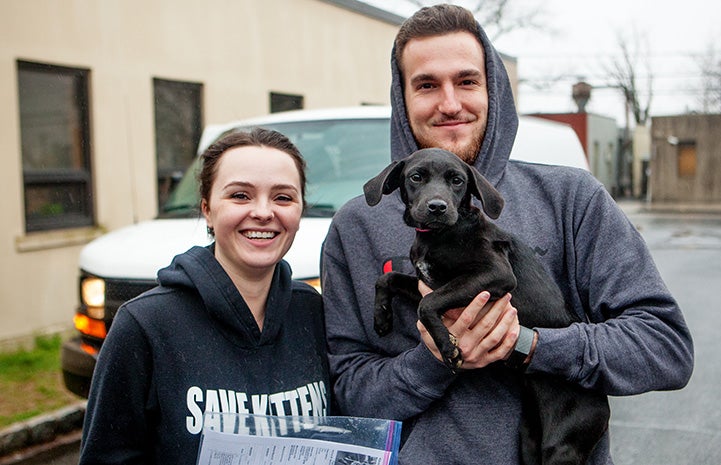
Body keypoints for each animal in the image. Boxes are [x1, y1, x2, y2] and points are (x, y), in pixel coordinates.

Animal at [366, 149, 608, 464]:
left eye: (457, 181)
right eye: (416, 177)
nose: (437, 207)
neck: (438, 236)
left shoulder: (496, 274)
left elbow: (428, 305)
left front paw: (447, 346)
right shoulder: (428, 284)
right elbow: (388, 278)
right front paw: (382, 317)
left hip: (562, 446)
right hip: (529, 438)